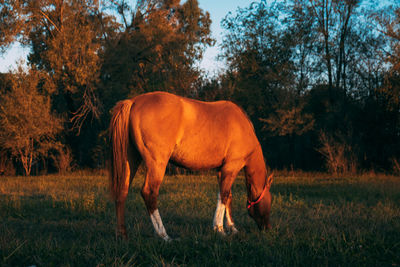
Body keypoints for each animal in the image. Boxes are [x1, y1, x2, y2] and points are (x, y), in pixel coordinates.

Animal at [108, 91, 274, 241]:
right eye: (270, 200)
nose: (268, 228)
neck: (242, 127)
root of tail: (134, 101)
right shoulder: (231, 167)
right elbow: (225, 195)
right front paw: (220, 229)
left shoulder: (222, 170)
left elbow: (226, 196)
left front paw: (231, 228)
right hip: (157, 164)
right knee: (149, 193)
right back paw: (164, 235)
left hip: (131, 160)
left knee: (122, 191)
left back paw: (122, 234)